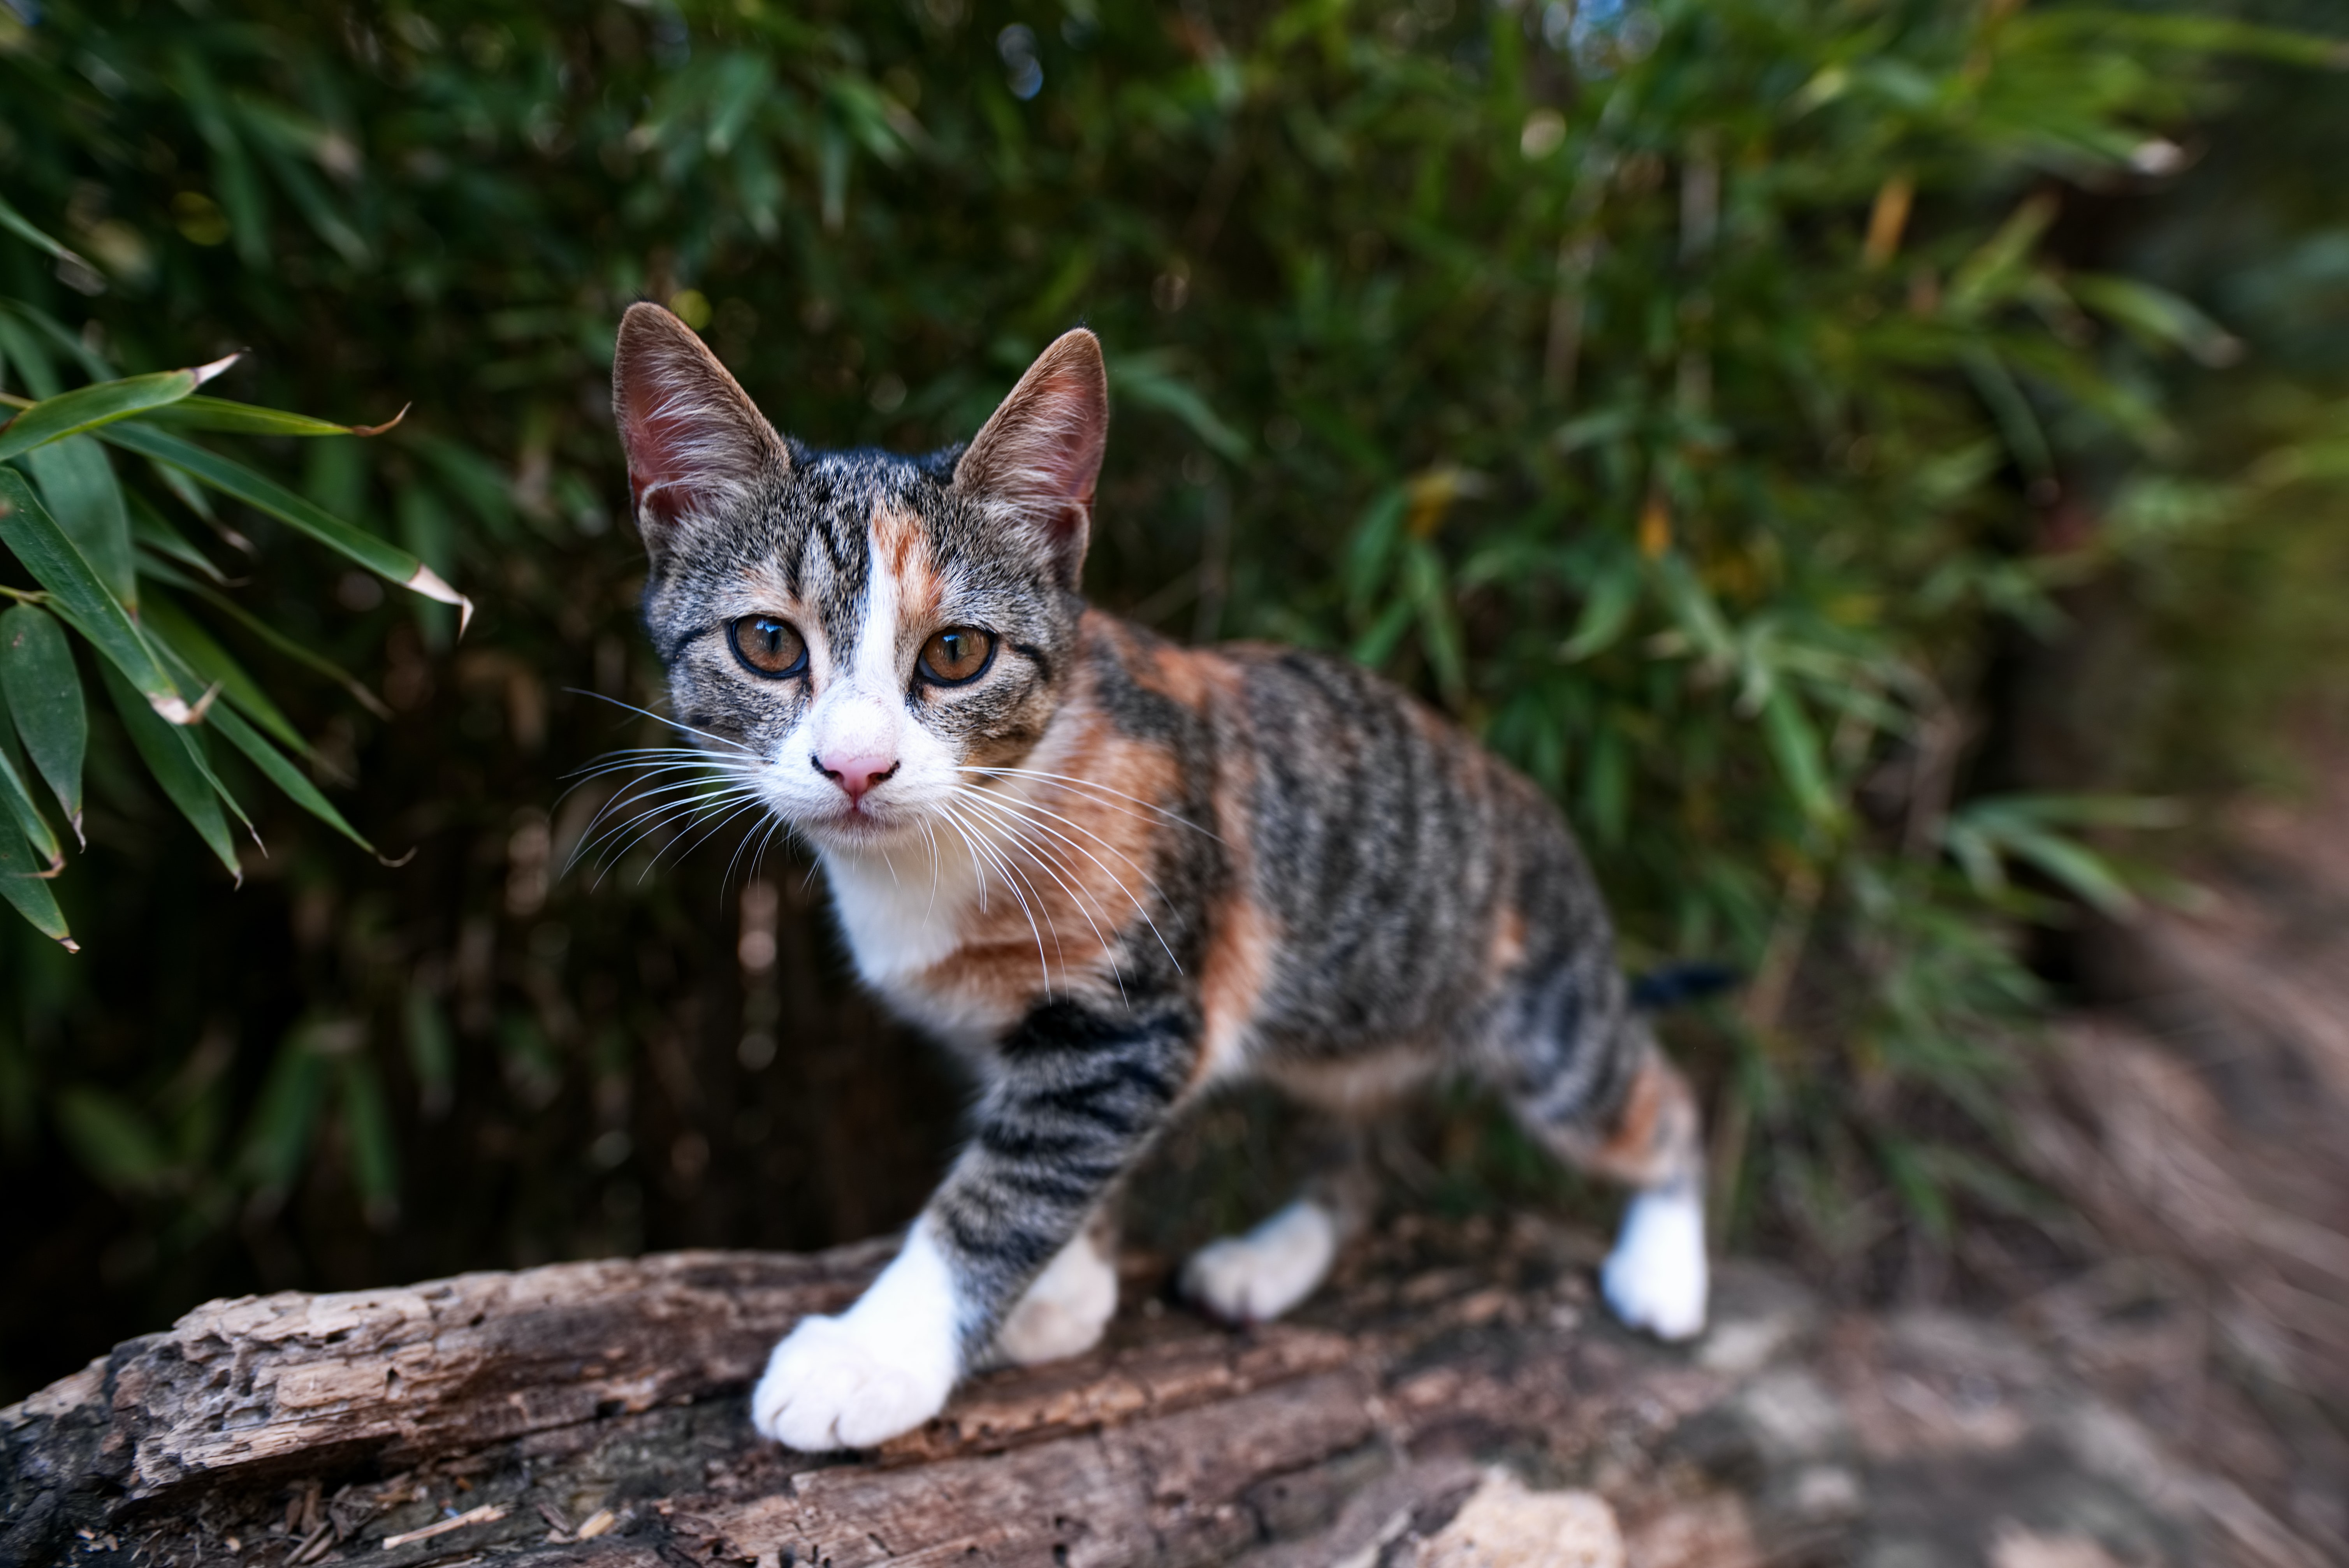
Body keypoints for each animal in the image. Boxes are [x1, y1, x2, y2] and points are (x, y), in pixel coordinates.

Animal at [606, 300, 1710, 1455]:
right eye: (767, 642)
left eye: (956, 654)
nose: (857, 767)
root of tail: (1530, 795)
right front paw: (1069, 1288)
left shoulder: (1138, 1010)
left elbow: (1010, 1183)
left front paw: (878, 1355)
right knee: (1357, 1144)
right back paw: (1275, 1257)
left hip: (1541, 1016)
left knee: (1651, 1099)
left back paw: (1666, 1269)